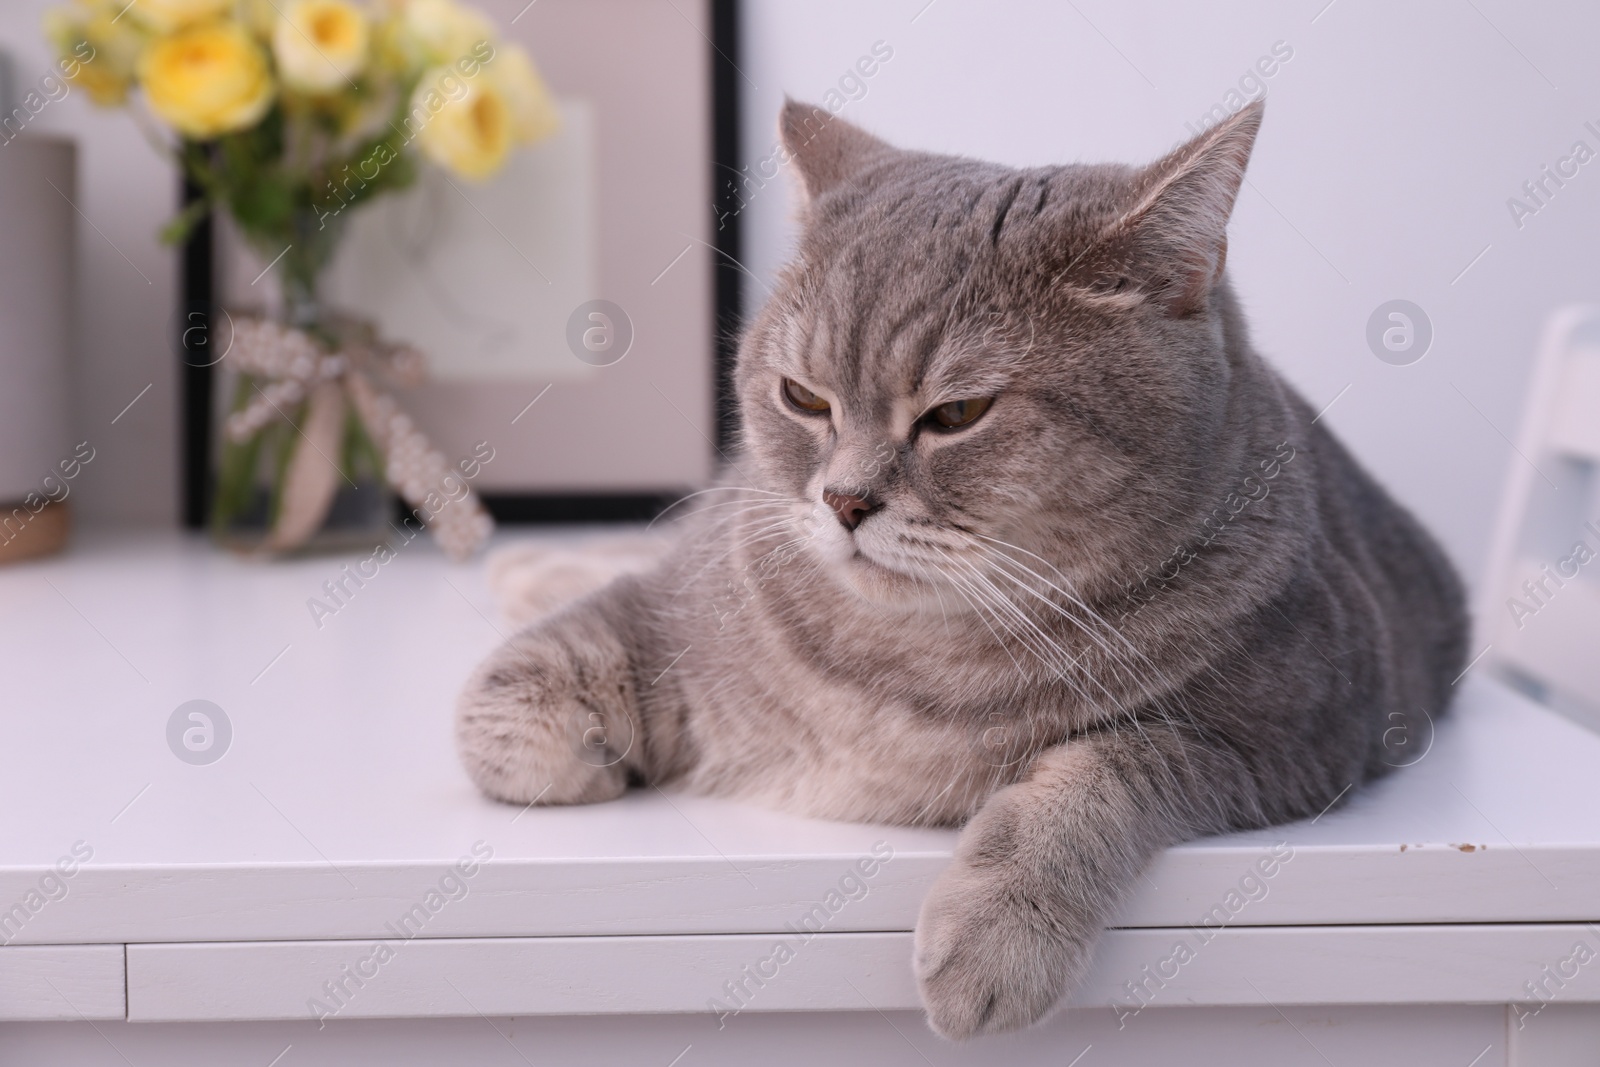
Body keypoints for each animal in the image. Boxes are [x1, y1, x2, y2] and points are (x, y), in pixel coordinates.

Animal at [457, 97, 1465, 1036]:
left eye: (957, 413)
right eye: (803, 398)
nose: (844, 501)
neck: (904, 655)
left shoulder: (1299, 731)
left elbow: (1104, 768)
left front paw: (998, 931)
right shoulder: (672, 601)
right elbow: (501, 711)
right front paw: (579, 746)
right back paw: (538, 564)